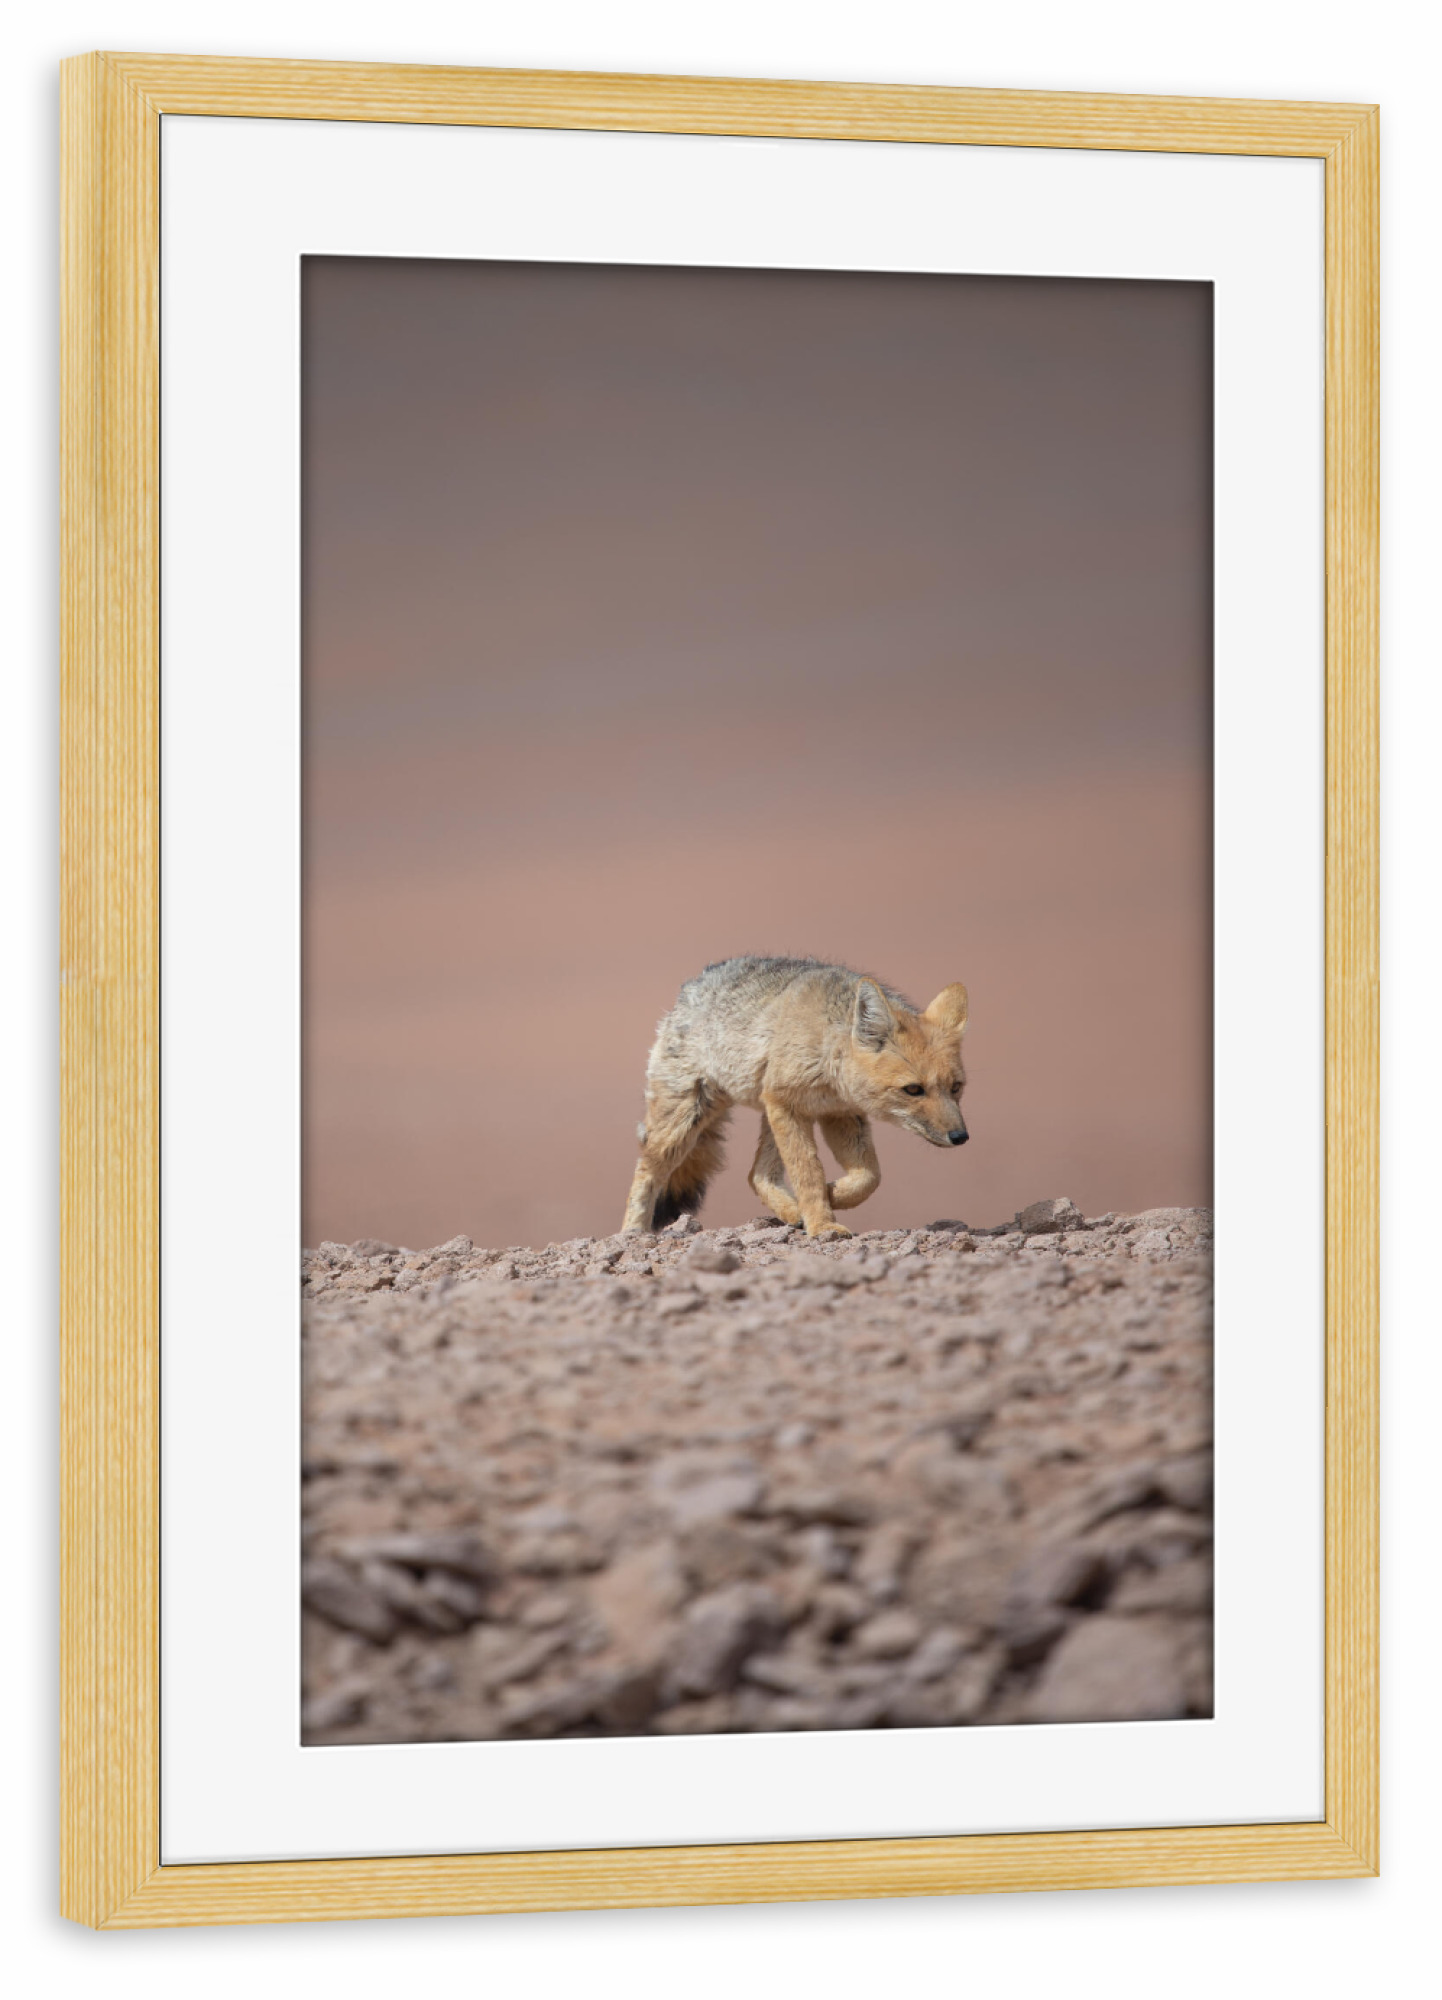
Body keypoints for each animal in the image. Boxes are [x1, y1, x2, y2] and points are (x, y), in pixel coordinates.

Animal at [622, 956, 969, 1241]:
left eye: (956, 1087)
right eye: (913, 1089)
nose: (960, 1137)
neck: (827, 1048)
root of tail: (695, 983)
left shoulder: (837, 1113)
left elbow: (869, 1177)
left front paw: (833, 1195)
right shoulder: (789, 1106)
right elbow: (809, 1172)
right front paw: (823, 1224)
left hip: (769, 1115)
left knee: (757, 1174)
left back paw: (792, 1211)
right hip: (685, 1124)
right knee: (647, 1170)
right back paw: (631, 1234)